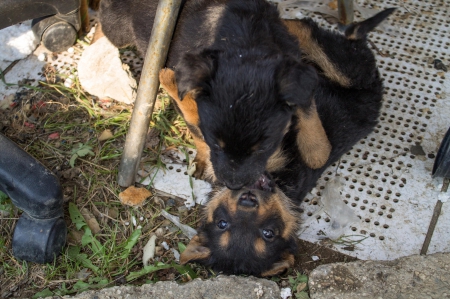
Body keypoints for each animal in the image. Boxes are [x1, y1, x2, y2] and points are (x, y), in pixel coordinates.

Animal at [98, 0, 330, 190]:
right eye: (215, 143)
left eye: (264, 148)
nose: (233, 186)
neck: (243, 45)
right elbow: (196, 131)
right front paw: (203, 159)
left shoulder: (294, 65)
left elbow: (307, 106)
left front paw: (316, 150)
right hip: (119, 29)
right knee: (103, 24)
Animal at [172, 8, 394, 276]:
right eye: (222, 224)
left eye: (268, 233)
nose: (247, 197)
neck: (278, 182)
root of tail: (377, 89)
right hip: (346, 70)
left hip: (346, 71)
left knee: (314, 34)